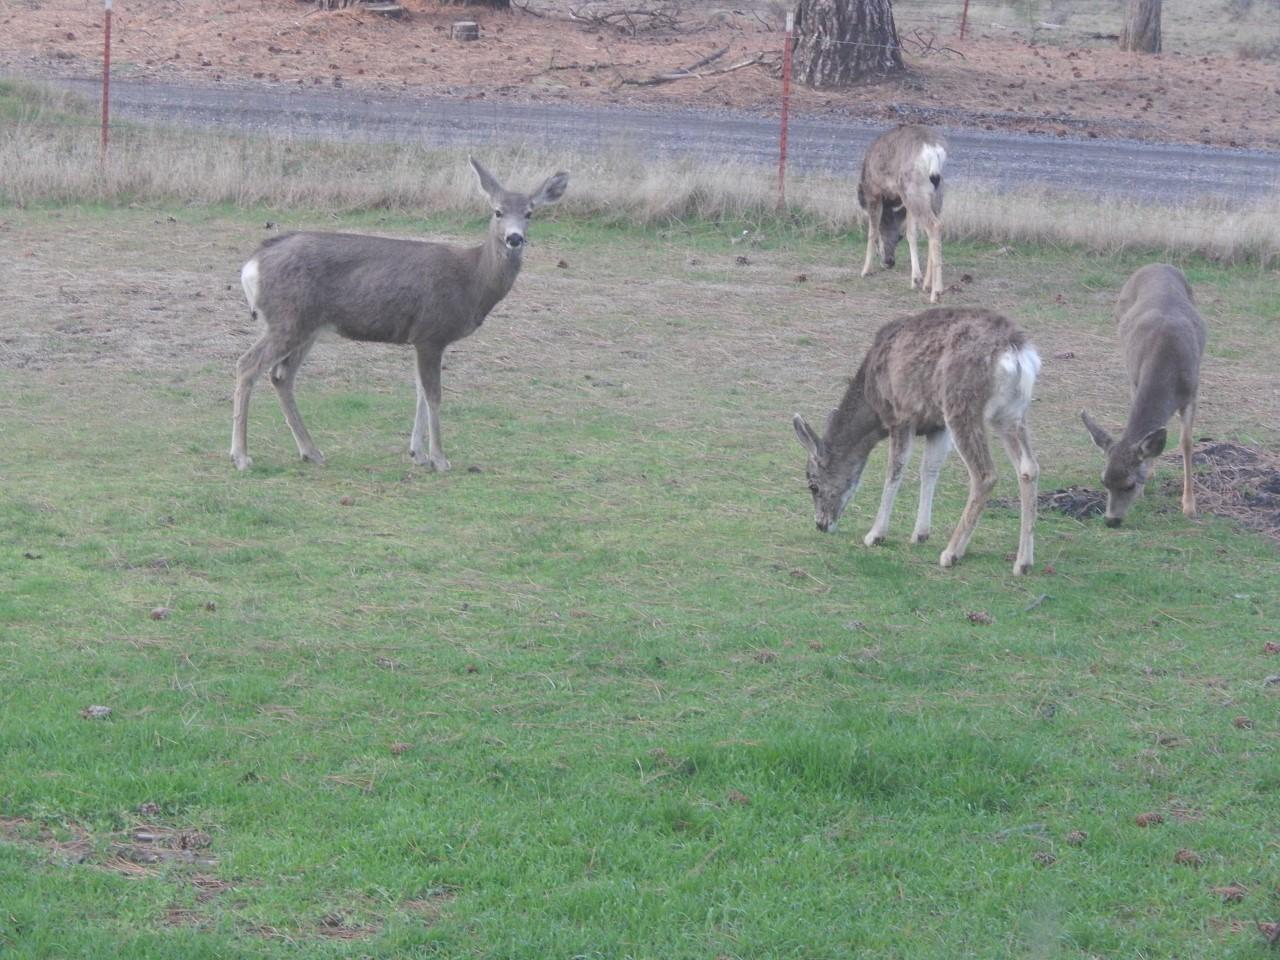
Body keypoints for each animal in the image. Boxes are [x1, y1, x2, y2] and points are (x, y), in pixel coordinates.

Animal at [230, 157, 569, 472]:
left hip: (307, 326)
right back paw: (241, 456)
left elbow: (419, 391)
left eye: (529, 213)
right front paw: (440, 459)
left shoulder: (422, 339)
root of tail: (251, 265)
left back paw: (310, 451)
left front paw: (417, 453)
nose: (515, 238)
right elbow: (433, 394)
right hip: (288, 319)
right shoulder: (432, 332)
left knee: (281, 376)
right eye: (497, 211)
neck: (473, 281)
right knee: (247, 365)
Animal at [793, 307, 1040, 576]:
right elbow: (929, 470)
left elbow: (895, 471)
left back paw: (951, 553)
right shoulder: (937, 425)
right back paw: (1023, 562)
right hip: (1010, 413)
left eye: (813, 485)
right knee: (1029, 468)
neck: (874, 408)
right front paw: (920, 534)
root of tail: (1016, 353)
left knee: (985, 474)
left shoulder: (901, 415)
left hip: (961, 404)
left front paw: (875, 535)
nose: (821, 524)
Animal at [857, 124, 947, 304]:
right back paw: (928, 285)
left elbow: (872, 232)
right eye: (898, 237)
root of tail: (934, 151)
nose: (889, 262)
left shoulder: (873, 192)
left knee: (934, 225)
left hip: (912, 189)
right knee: (934, 228)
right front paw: (916, 279)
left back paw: (936, 293)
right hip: (935, 194)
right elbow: (911, 234)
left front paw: (865, 270)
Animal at [1080, 263, 1206, 527]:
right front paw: (1149, 474)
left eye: (1129, 485)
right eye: (1103, 481)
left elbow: (1187, 442)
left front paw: (1189, 506)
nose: (1111, 521)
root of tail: (1157, 264)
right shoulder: (1136, 378)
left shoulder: (1192, 392)